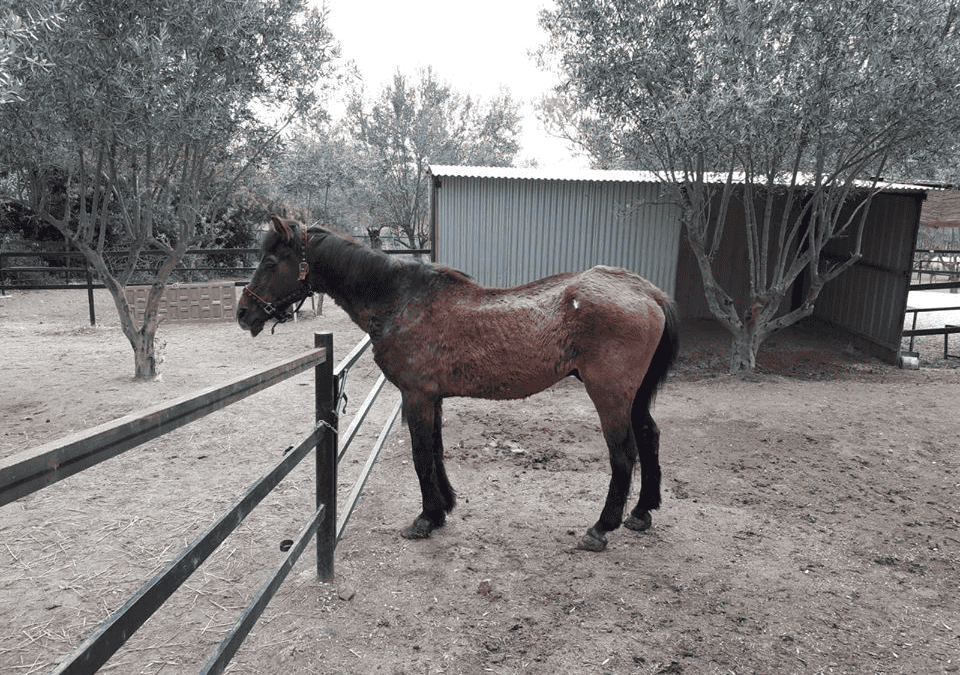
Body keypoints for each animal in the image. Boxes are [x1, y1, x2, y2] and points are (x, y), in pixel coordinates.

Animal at [236, 219, 680, 552]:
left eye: (272, 260)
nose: (244, 313)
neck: (399, 300)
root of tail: (647, 292)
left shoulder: (416, 396)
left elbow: (421, 456)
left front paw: (425, 518)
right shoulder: (432, 398)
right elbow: (435, 451)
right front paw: (444, 507)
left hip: (609, 395)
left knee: (623, 454)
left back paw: (601, 528)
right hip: (634, 397)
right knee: (649, 437)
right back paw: (641, 513)